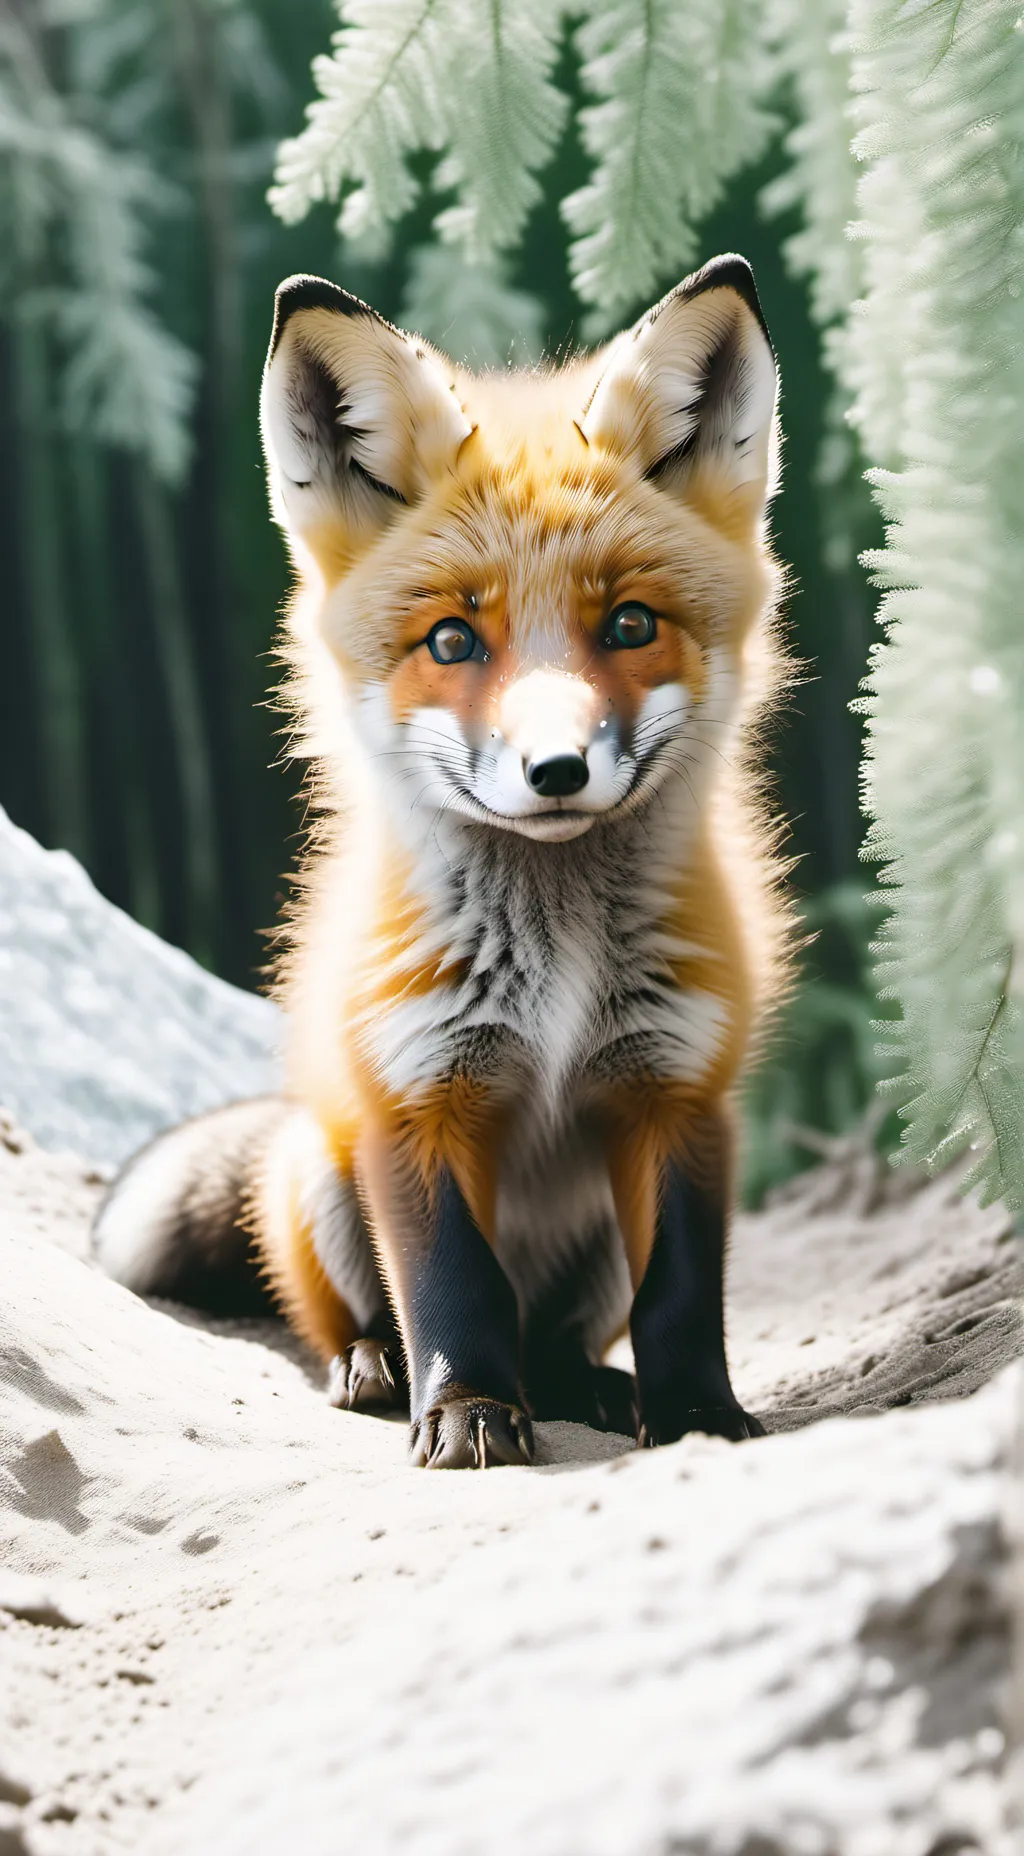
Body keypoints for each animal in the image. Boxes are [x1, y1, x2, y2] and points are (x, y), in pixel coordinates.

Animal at [94, 253, 791, 1469]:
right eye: (453, 641)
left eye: (630, 624)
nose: (556, 769)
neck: (556, 973)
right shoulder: (416, 1090)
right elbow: (451, 1287)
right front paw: (466, 1413)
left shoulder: (677, 1089)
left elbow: (680, 1293)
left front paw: (699, 1415)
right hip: (324, 1175)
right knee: (353, 1313)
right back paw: (375, 1368)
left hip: (588, 1245)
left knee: (560, 1340)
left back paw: (586, 1385)